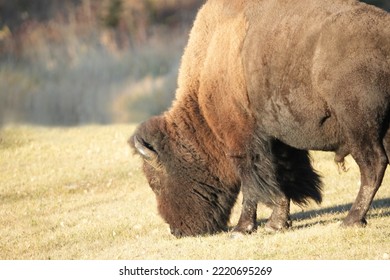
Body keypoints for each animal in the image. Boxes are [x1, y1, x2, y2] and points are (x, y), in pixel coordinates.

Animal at [129, 0, 390, 238]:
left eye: (156, 182)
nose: (177, 231)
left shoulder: (242, 144)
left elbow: (252, 186)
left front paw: (242, 229)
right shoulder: (277, 142)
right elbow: (281, 179)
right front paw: (276, 223)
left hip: (359, 129)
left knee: (373, 165)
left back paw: (352, 220)